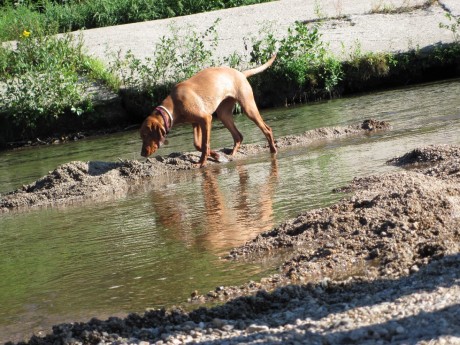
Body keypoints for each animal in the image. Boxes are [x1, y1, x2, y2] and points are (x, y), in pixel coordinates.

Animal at [140, 54, 276, 165]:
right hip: (223, 114)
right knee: (238, 136)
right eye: (141, 136)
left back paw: (273, 150)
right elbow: (198, 144)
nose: (142, 154)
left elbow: (205, 144)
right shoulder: (196, 123)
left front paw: (202, 162)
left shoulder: (205, 119)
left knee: (267, 129)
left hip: (248, 107)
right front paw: (215, 155)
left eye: (146, 135)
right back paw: (232, 155)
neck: (174, 104)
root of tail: (241, 73)